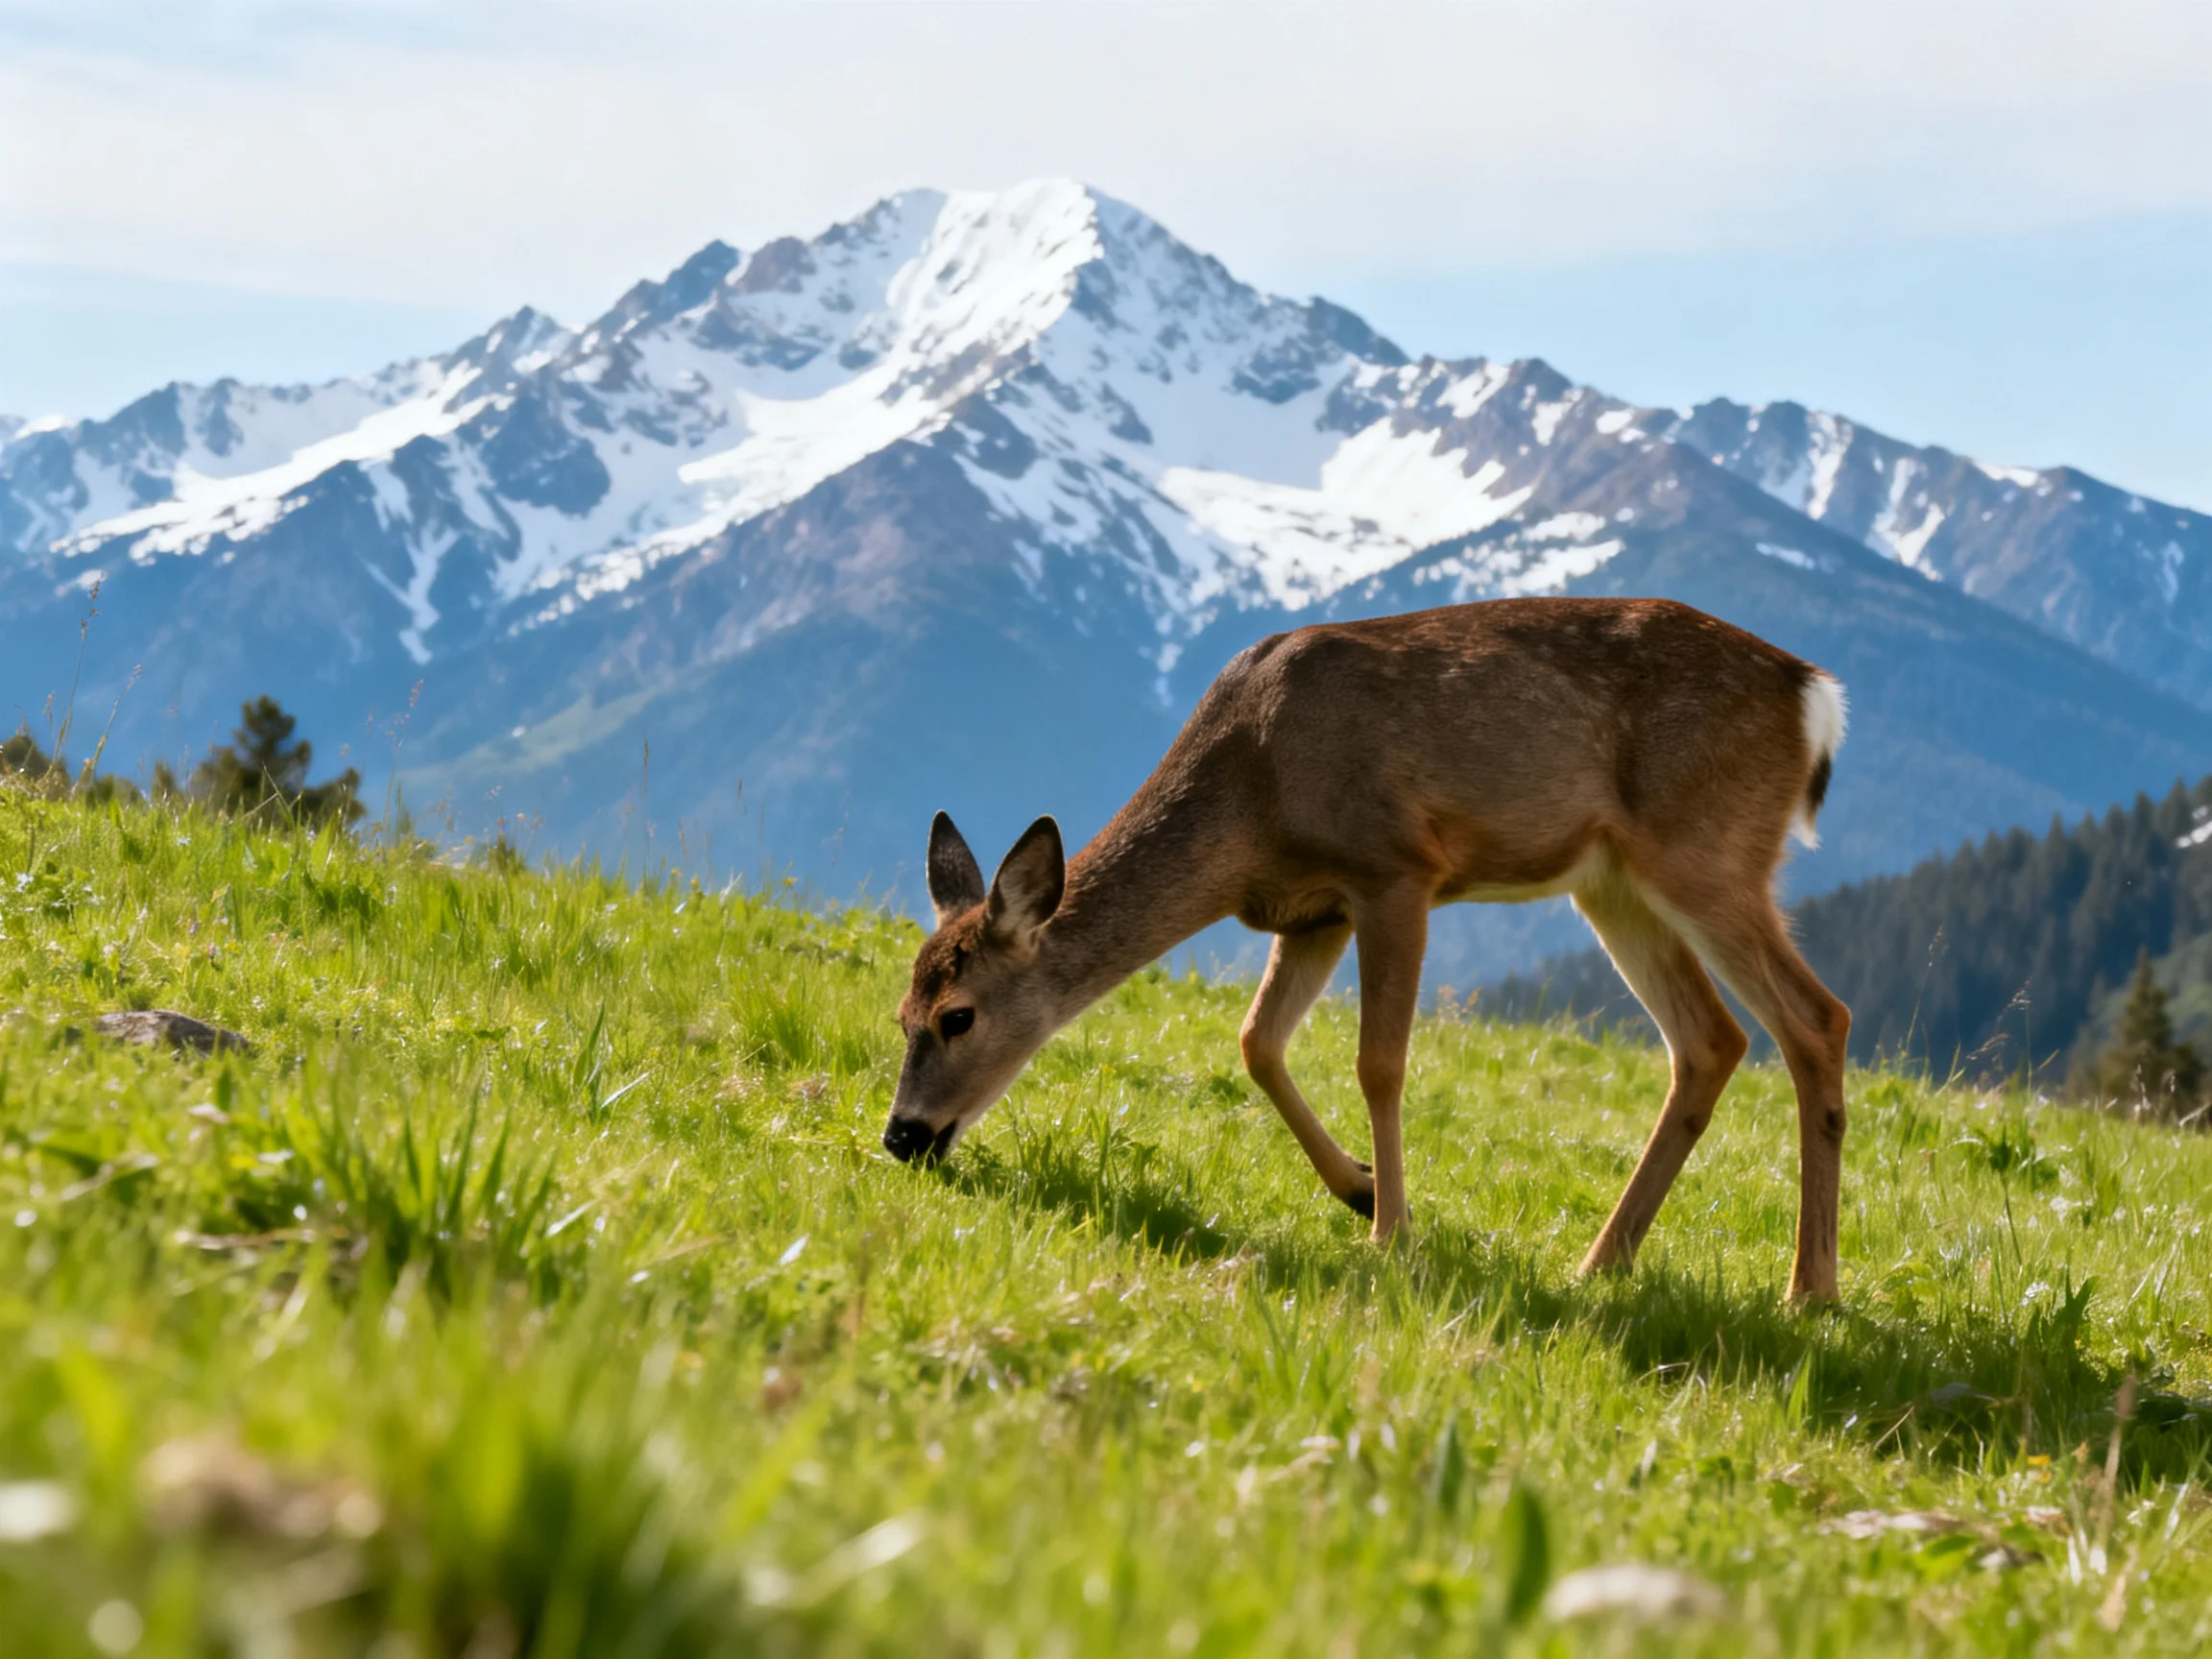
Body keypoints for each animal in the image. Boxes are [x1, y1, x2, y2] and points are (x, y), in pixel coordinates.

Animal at [880, 596, 1853, 1302]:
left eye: (958, 1016)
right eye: (900, 1015)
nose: (900, 1136)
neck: (1252, 799)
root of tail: (1814, 697)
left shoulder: (1394, 869)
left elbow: (1379, 1061)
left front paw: (1392, 1229)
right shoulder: (1310, 911)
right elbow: (1257, 1043)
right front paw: (1354, 1186)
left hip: (1706, 850)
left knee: (1817, 1018)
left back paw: (1809, 1290)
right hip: (1612, 882)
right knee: (1711, 1041)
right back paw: (1601, 1261)